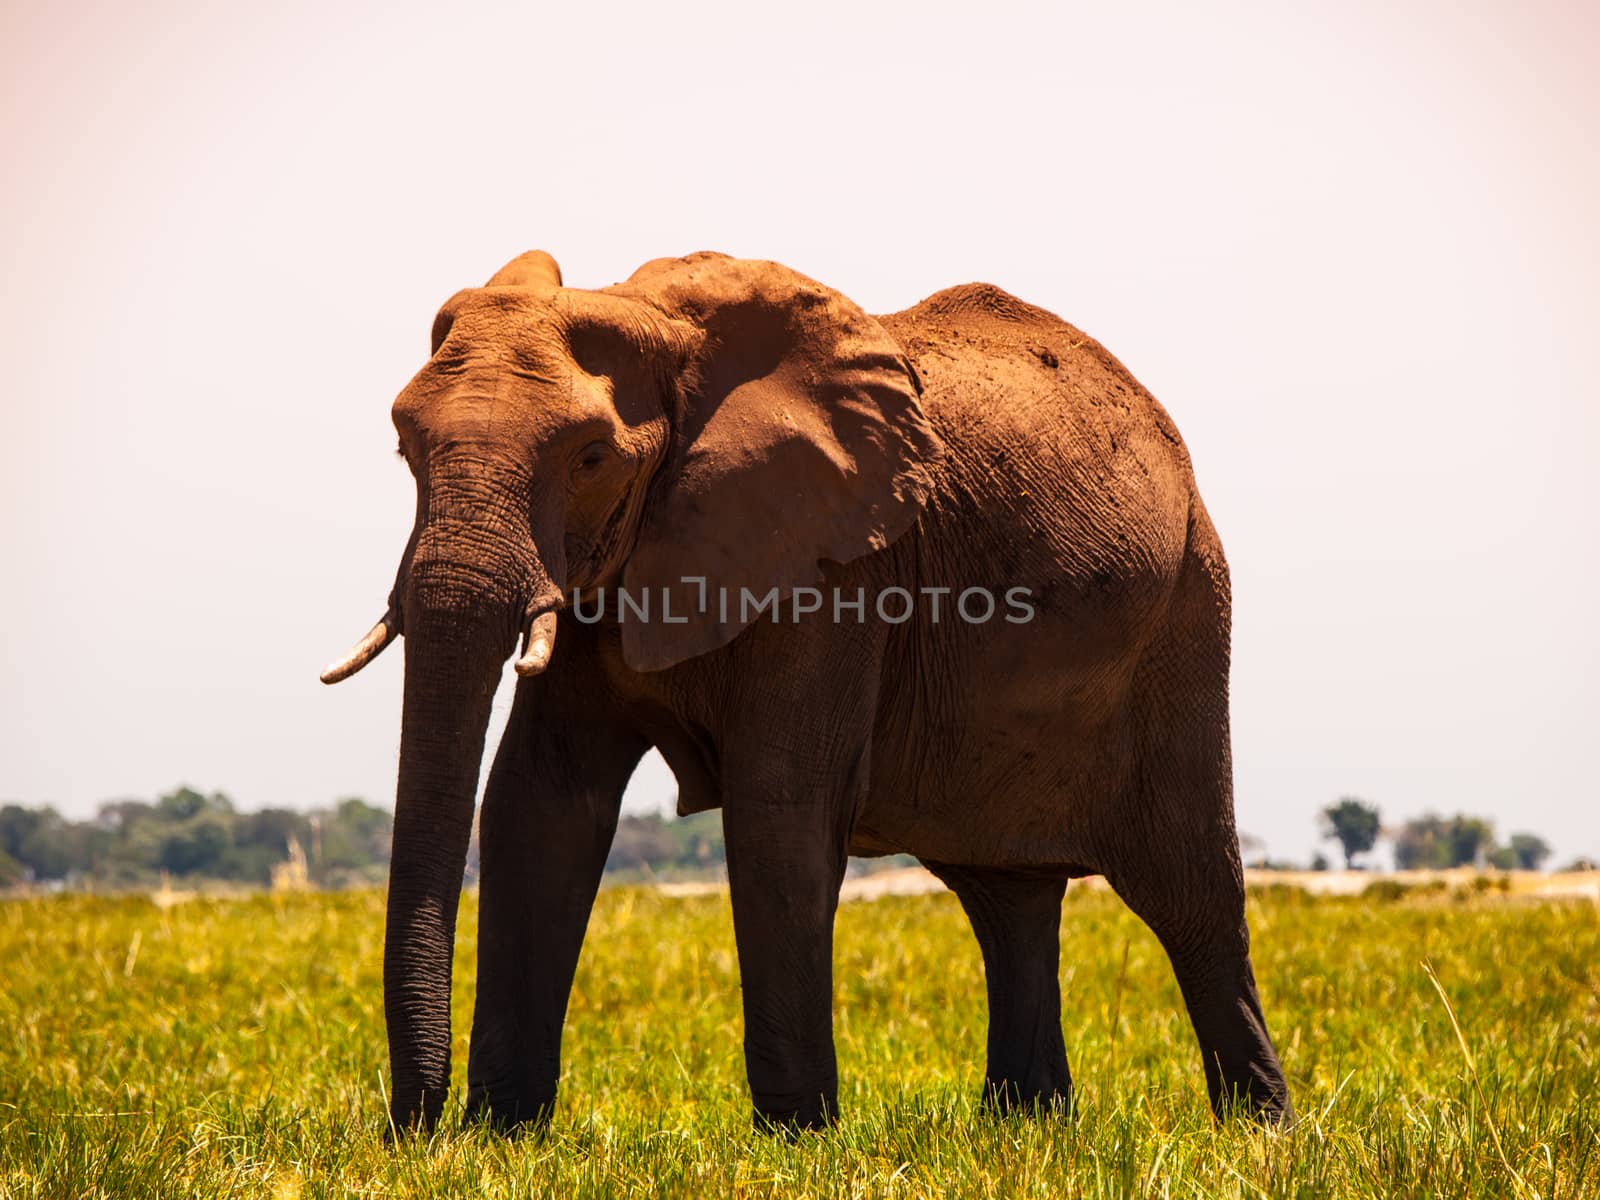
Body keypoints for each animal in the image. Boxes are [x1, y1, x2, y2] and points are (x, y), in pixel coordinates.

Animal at [321, 249, 1286, 1132]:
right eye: (406, 446)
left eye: (590, 457)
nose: (412, 1128)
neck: (659, 324)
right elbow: (540, 802)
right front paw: (501, 1137)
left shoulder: (834, 573)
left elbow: (779, 807)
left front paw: (795, 1140)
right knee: (1007, 901)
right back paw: (1026, 1127)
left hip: (1187, 616)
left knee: (1190, 892)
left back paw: (1255, 1131)